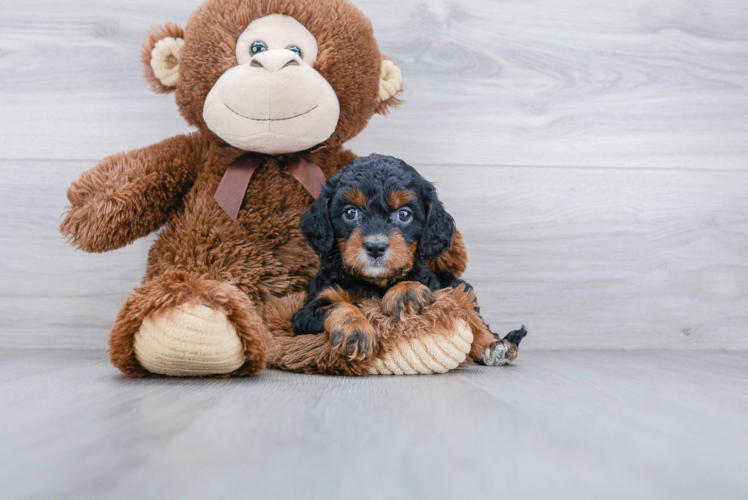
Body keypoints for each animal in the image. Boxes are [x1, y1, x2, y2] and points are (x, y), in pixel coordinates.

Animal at [292, 154, 524, 362]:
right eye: (350, 213)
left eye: (404, 215)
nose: (375, 247)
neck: (375, 283)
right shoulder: (305, 314)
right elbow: (338, 306)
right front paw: (355, 331)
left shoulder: (436, 287)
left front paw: (406, 291)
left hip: (457, 284)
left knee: (471, 314)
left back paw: (493, 345)